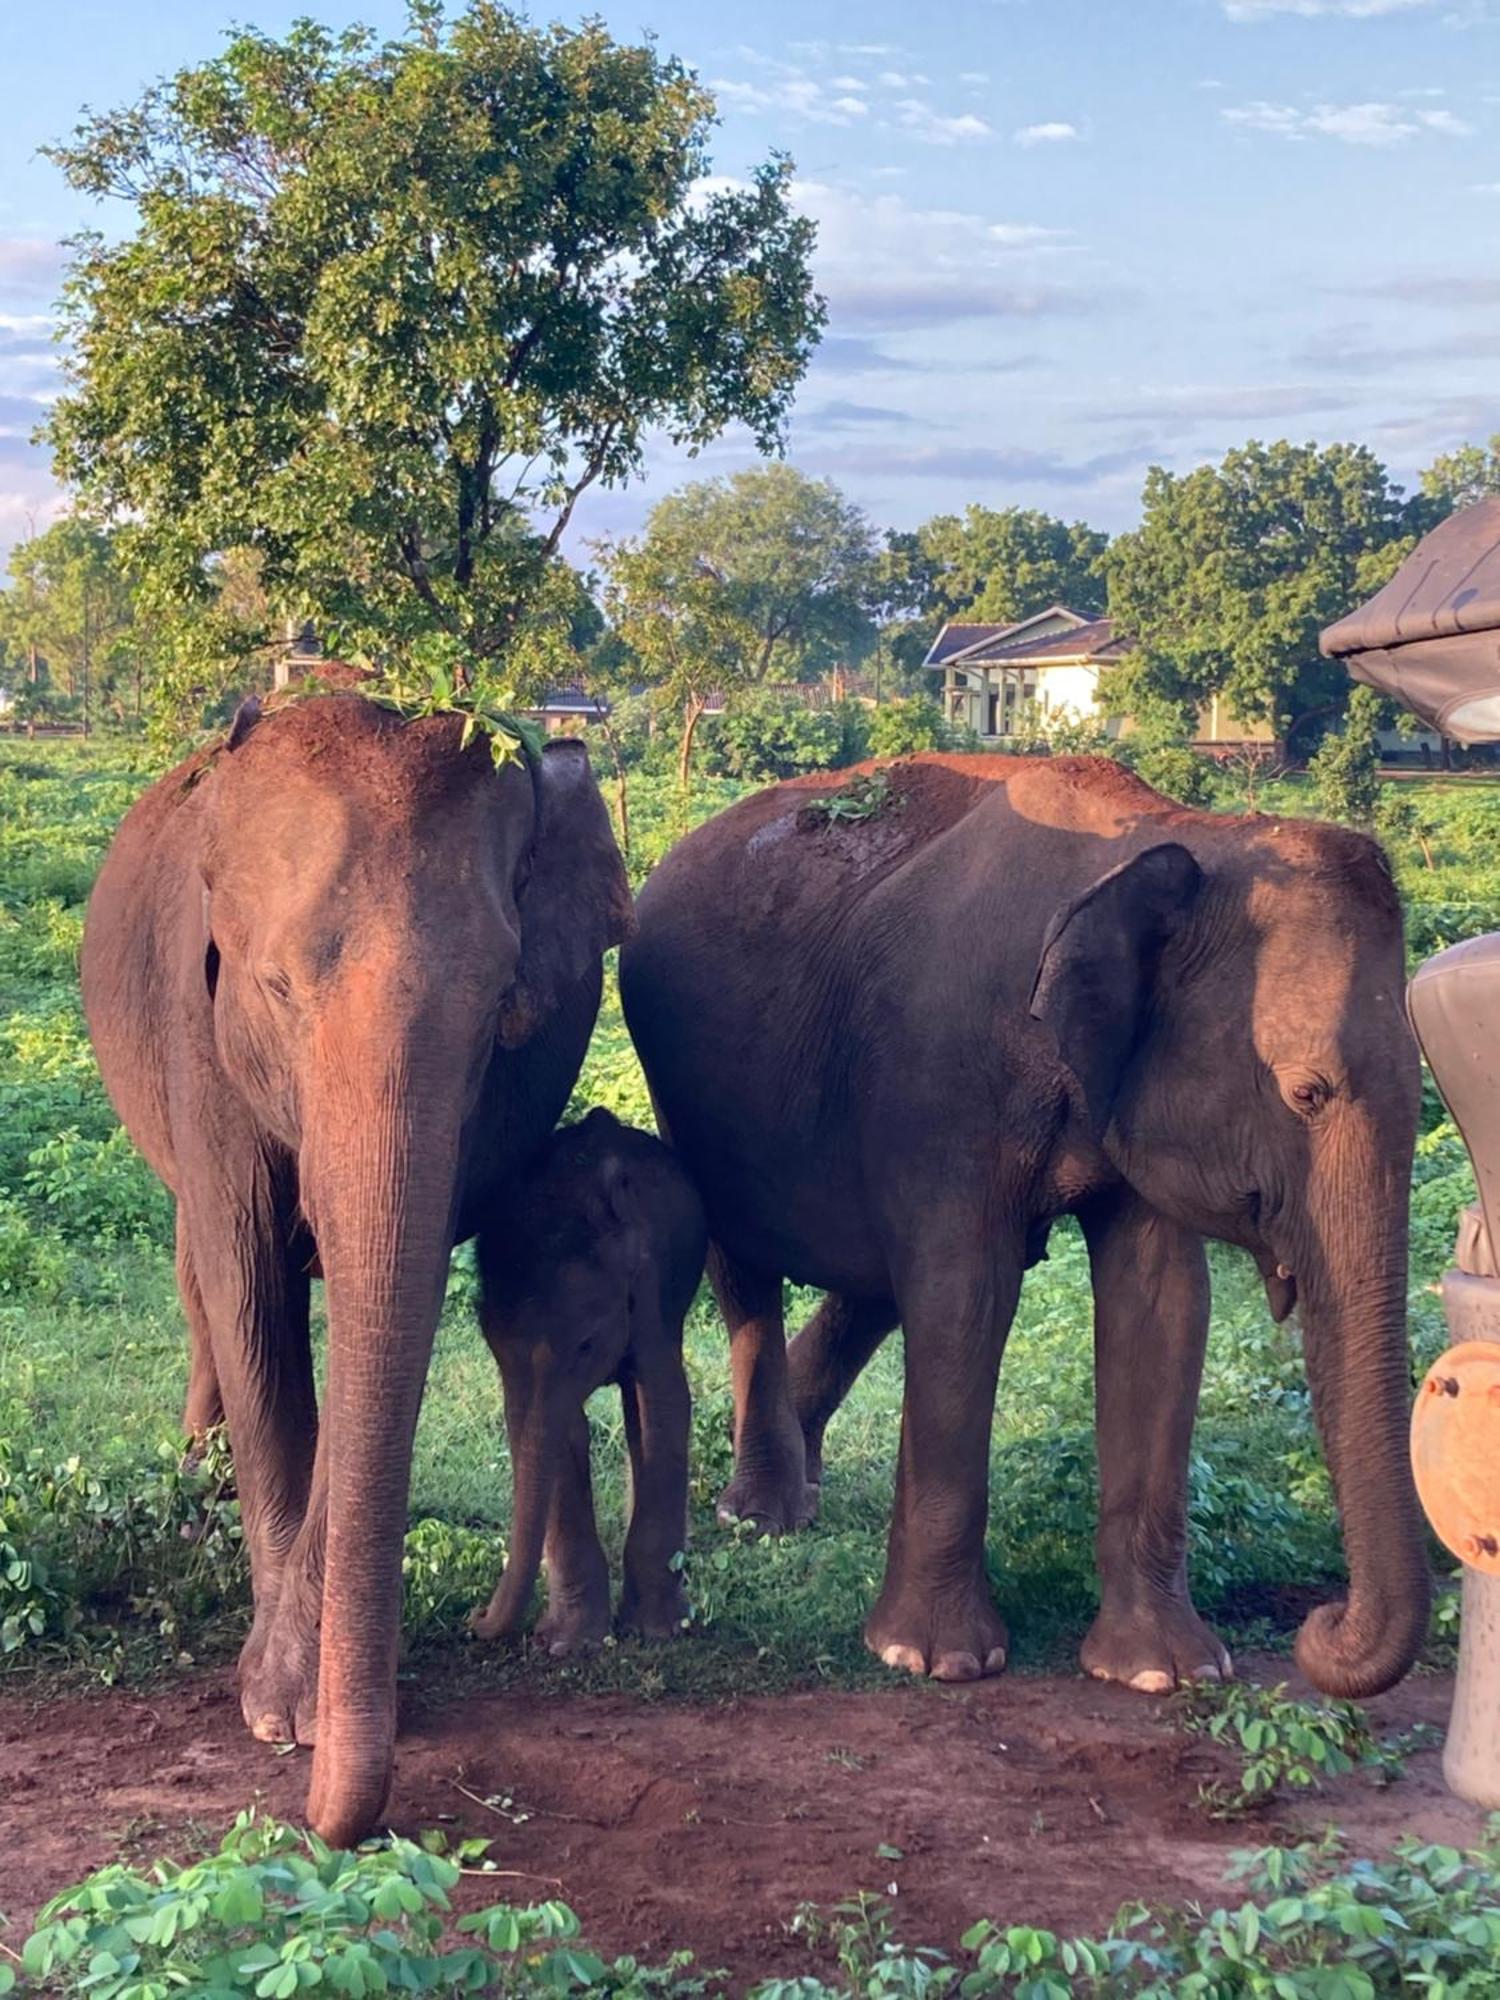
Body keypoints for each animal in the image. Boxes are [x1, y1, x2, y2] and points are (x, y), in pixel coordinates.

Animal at [82, 700, 636, 1840]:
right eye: (276, 987)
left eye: (505, 1011)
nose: (328, 1822)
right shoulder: (195, 1026)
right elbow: (251, 1290)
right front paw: (275, 1713)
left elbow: (384, 1306)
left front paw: (294, 1704)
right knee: (197, 1276)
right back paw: (197, 1485)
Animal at [472, 1104, 708, 1648]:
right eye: (489, 1339)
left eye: (587, 1342)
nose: (475, 1615)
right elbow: (556, 1428)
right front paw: (568, 1644)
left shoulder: (653, 1290)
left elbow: (663, 1403)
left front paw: (657, 1631)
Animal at [620, 752, 1432, 1704]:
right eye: (1307, 1093)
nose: (1320, 1624)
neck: (1182, 834)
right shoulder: (941, 1075)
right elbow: (965, 1295)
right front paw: (934, 1660)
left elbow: (1163, 1306)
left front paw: (1165, 1671)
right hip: (681, 1080)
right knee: (744, 1261)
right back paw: (761, 1518)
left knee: (868, 1282)